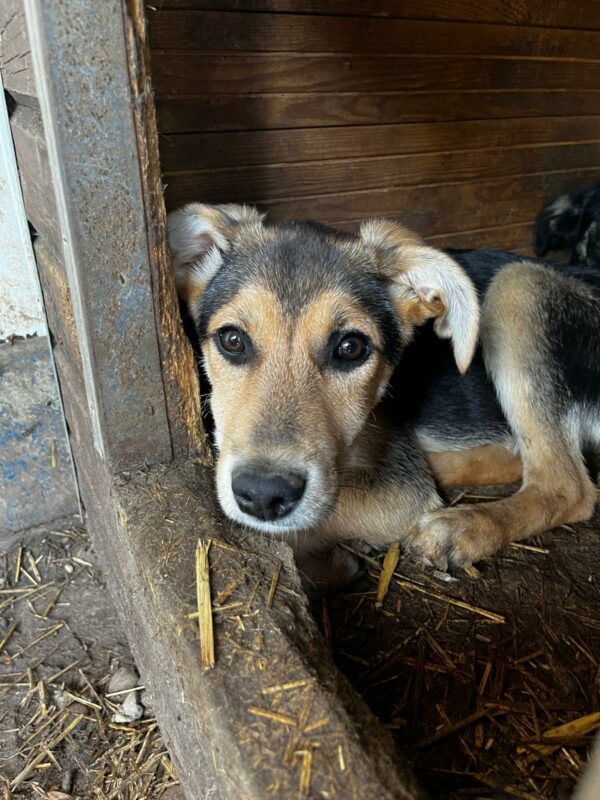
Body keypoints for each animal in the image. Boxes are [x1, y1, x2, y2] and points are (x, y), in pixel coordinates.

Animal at [168, 203, 600, 584]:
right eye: (232, 340)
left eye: (351, 347)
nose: (263, 495)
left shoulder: (396, 494)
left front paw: (327, 564)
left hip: (520, 286)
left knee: (567, 487)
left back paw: (462, 526)